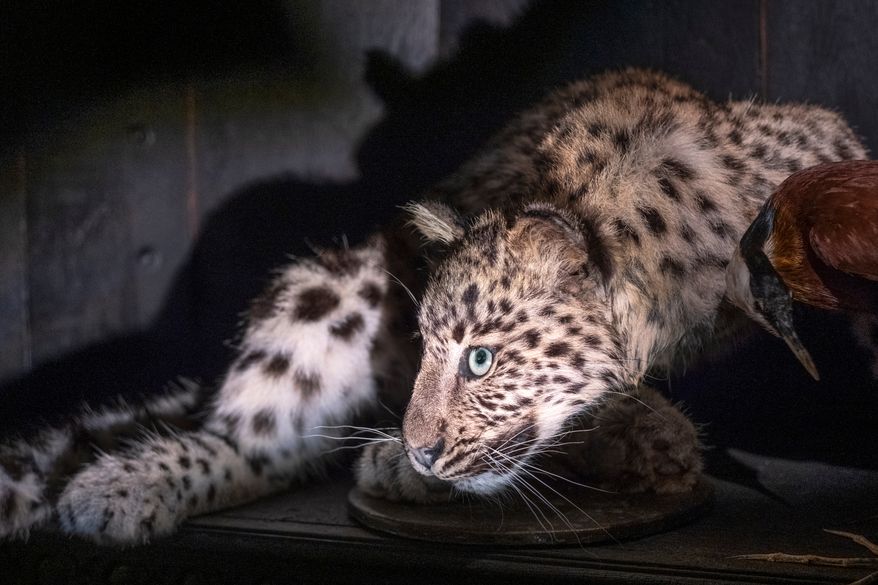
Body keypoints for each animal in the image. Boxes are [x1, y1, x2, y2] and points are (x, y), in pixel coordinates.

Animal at [0, 68, 867, 544]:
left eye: (481, 358)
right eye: (431, 348)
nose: (419, 448)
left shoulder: (826, 144)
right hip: (331, 289)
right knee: (248, 441)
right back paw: (120, 490)